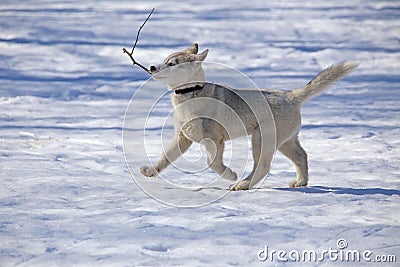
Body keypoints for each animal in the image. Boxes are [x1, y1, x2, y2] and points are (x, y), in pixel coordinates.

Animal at [141, 43, 360, 191]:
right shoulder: (183, 138)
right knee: (301, 156)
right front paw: (150, 171)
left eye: (172, 64)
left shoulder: (215, 139)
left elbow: (212, 163)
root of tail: (290, 96)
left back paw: (243, 184)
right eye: (164, 60)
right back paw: (300, 182)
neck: (191, 94)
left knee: (262, 166)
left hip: (261, 139)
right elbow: (165, 156)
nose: (151, 67)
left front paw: (230, 175)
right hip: (285, 141)